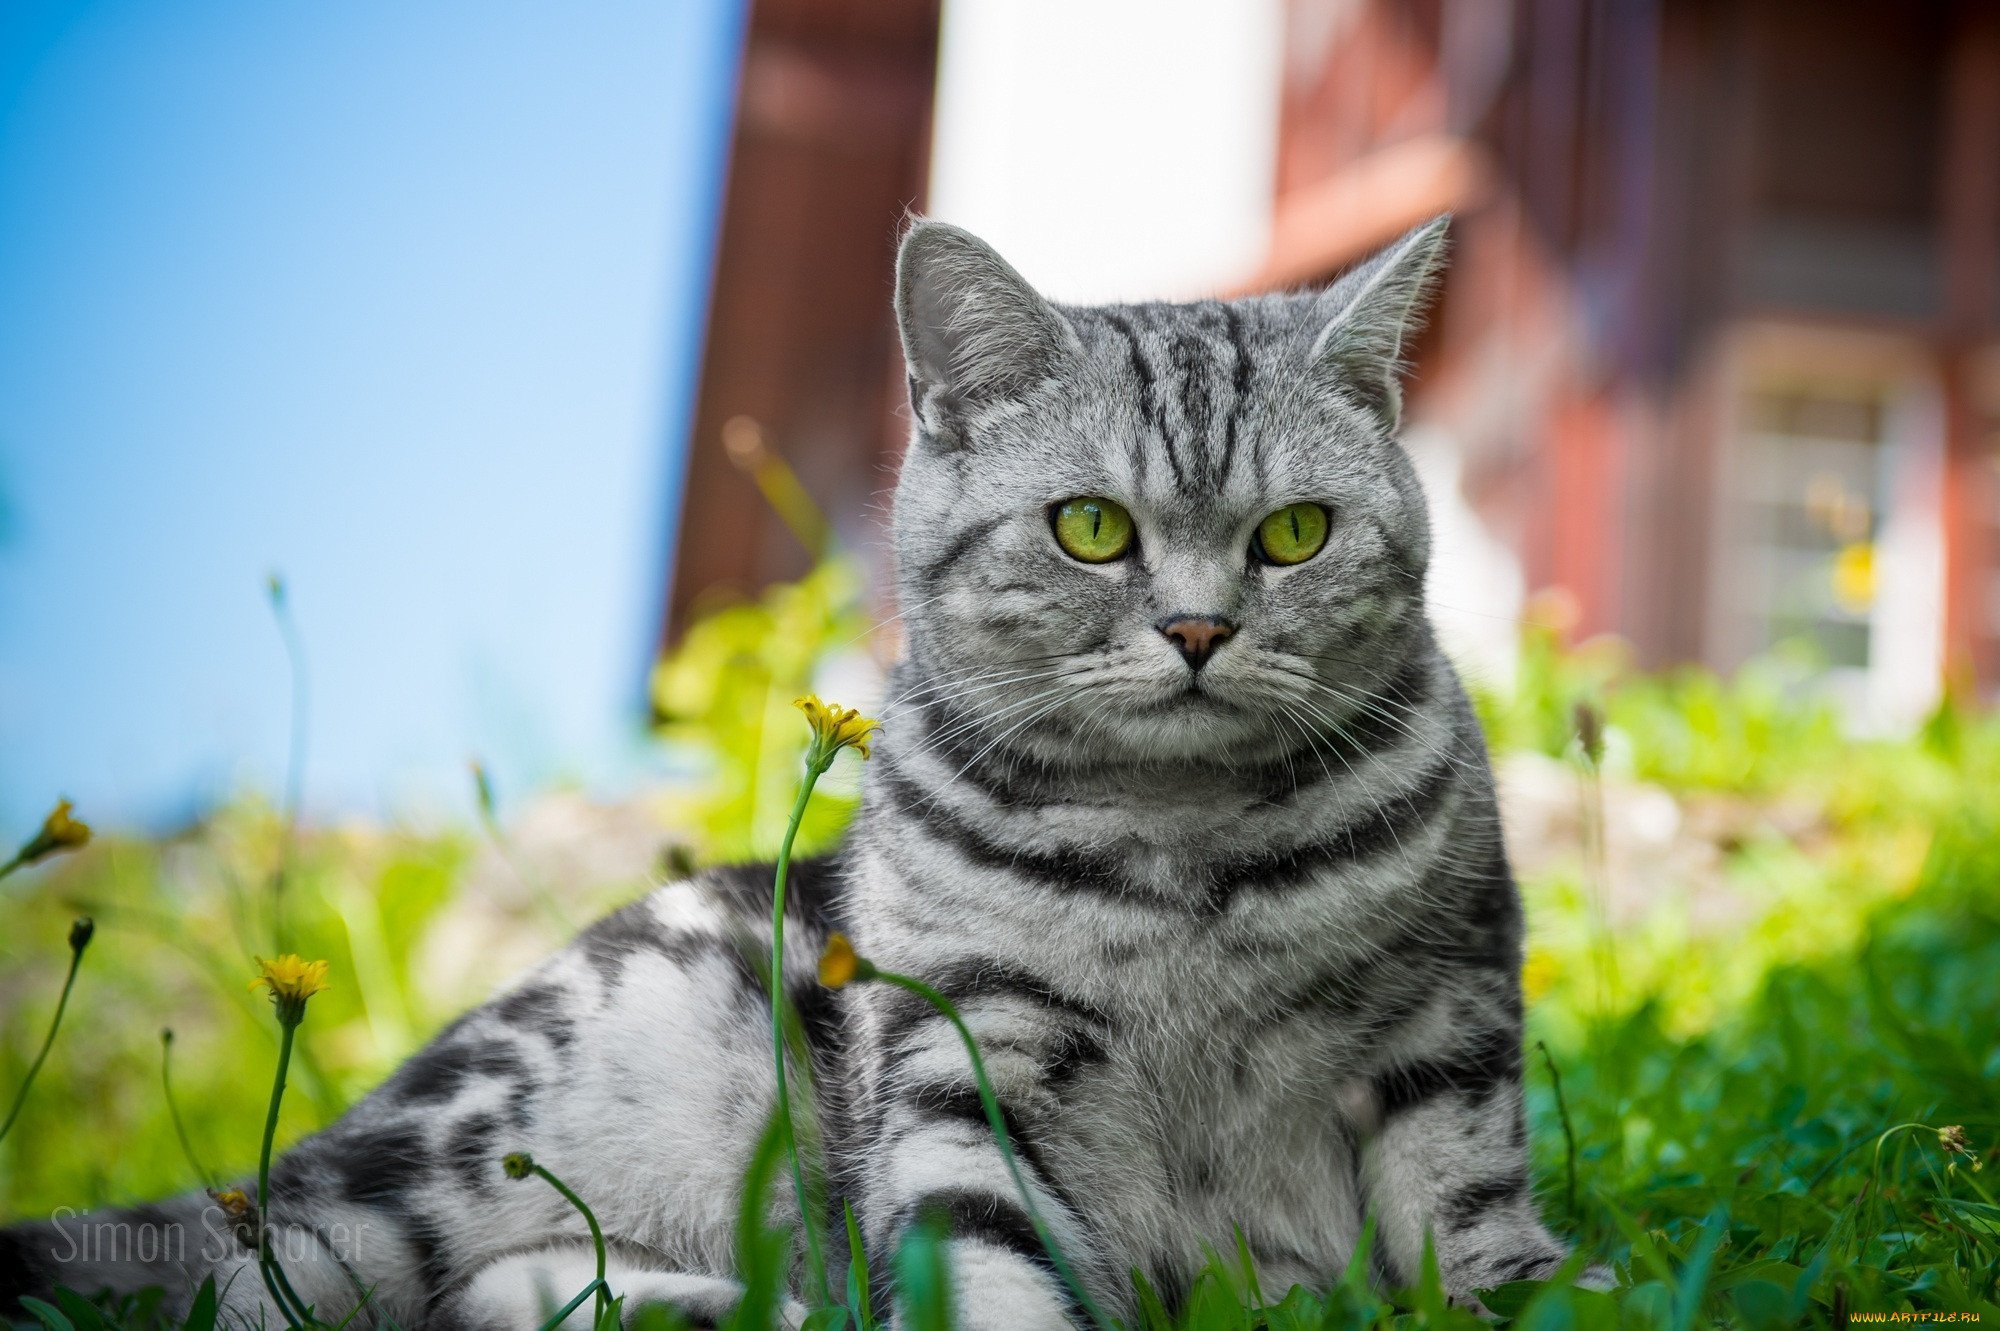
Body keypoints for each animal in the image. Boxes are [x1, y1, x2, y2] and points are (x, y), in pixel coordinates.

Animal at [3, 212, 1592, 1319]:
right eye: (1089, 529)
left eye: (1294, 534)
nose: (1199, 628)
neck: (1179, 850)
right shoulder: (963, 1062)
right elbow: (989, 1269)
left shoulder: (1445, 1024)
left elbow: (1471, 1217)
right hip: (469, 1137)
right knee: (269, 1269)